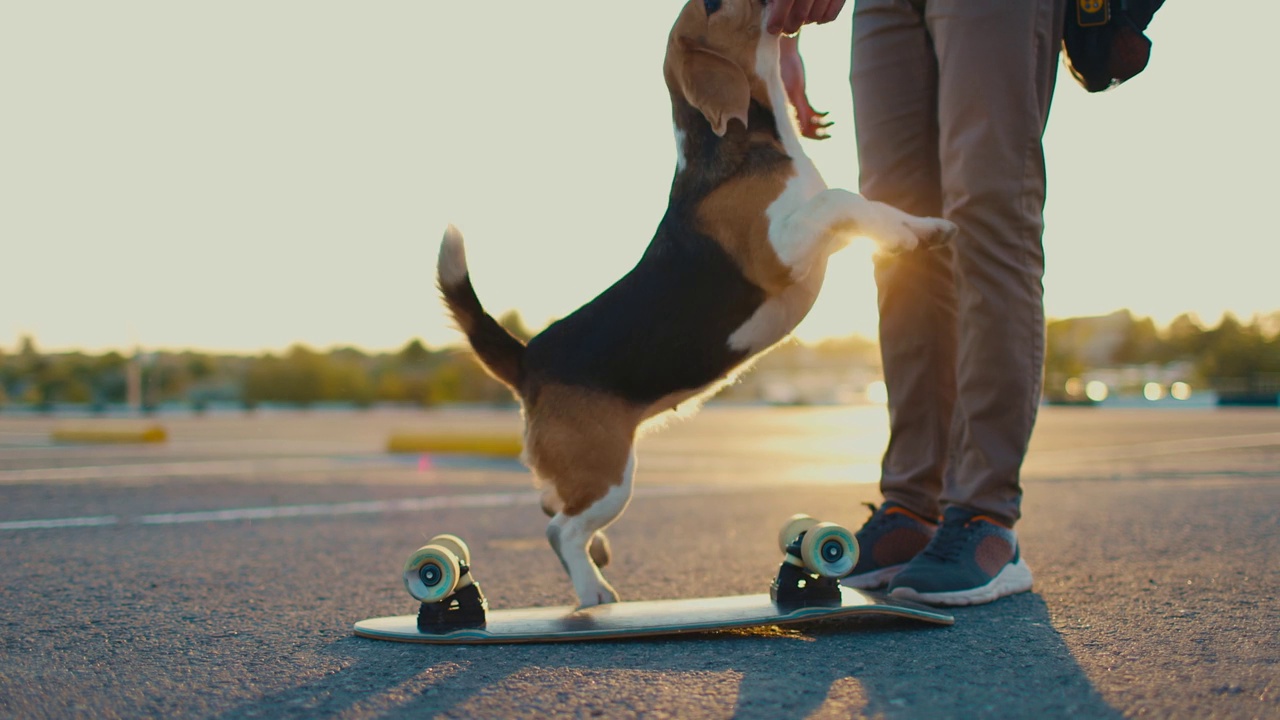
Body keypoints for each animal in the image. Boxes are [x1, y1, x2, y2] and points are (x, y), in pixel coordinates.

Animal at [437, 0, 952, 604]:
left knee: (552, 504)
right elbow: (841, 198)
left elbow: (870, 206)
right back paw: (594, 591)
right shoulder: (780, 251)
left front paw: (923, 229)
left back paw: (596, 557)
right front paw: (906, 234)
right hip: (609, 476)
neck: (739, 142)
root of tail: (528, 358)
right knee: (558, 529)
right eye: (711, 4)